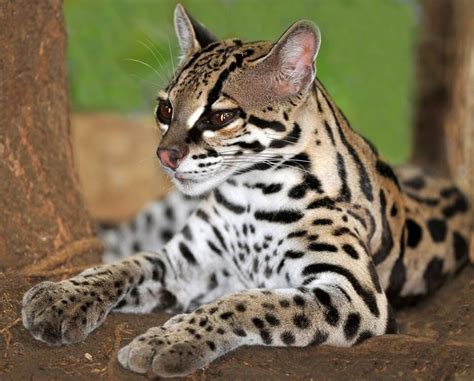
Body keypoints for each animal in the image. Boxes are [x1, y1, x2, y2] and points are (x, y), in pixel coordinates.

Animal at [22, 5, 470, 378]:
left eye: (220, 117)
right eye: (165, 109)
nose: (164, 155)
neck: (252, 194)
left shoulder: (355, 294)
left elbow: (250, 301)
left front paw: (167, 341)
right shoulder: (186, 260)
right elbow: (125, 265)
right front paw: (62, 296)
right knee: (117, 242)